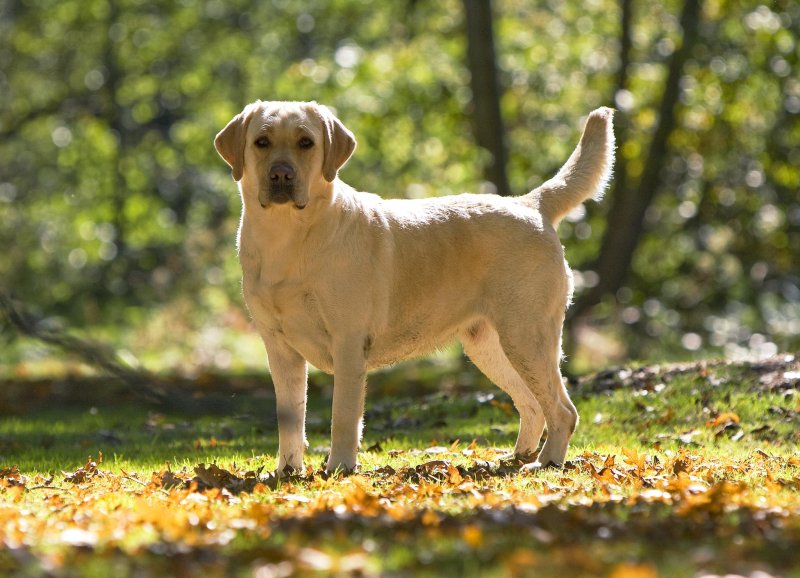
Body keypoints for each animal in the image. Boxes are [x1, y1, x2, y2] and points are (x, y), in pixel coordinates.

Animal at [212, 101, 612, 474]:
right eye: (262, 142)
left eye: (306, 142)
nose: (281, 174)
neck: (288, 238)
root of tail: (530, 203)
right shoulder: (278, 347)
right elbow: (290, 418)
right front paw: (288, 470)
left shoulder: (348, 342)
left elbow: (343, 416)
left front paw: (339, 468)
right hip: (491, 346)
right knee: (532, 403)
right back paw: (518, 457)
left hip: (526, 337)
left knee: (563, 409)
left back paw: (546, 462)